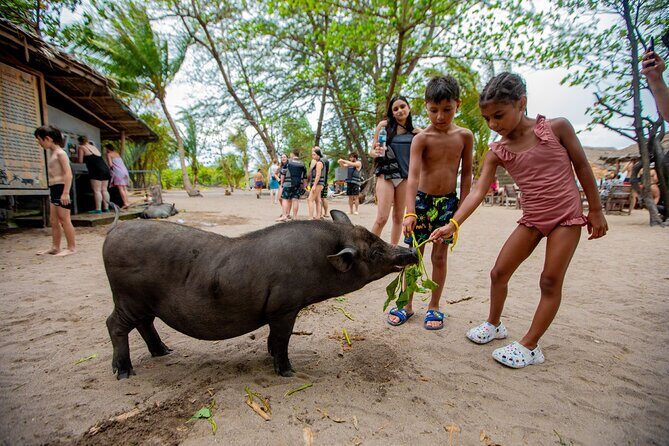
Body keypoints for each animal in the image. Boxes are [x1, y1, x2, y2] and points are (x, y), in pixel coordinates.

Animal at [103, 210, 417, 379]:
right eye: (374, 252)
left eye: (376, 238)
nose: (411, 251)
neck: (320, 260)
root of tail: (114, 229)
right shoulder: (285, 307)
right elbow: (282, 338)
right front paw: (288, 372)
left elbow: (272, 338)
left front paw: (269, 356)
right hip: (128, 298)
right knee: (114, 324)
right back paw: (125, 373)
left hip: (142, 303)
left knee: (145, 324)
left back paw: (164, 352)